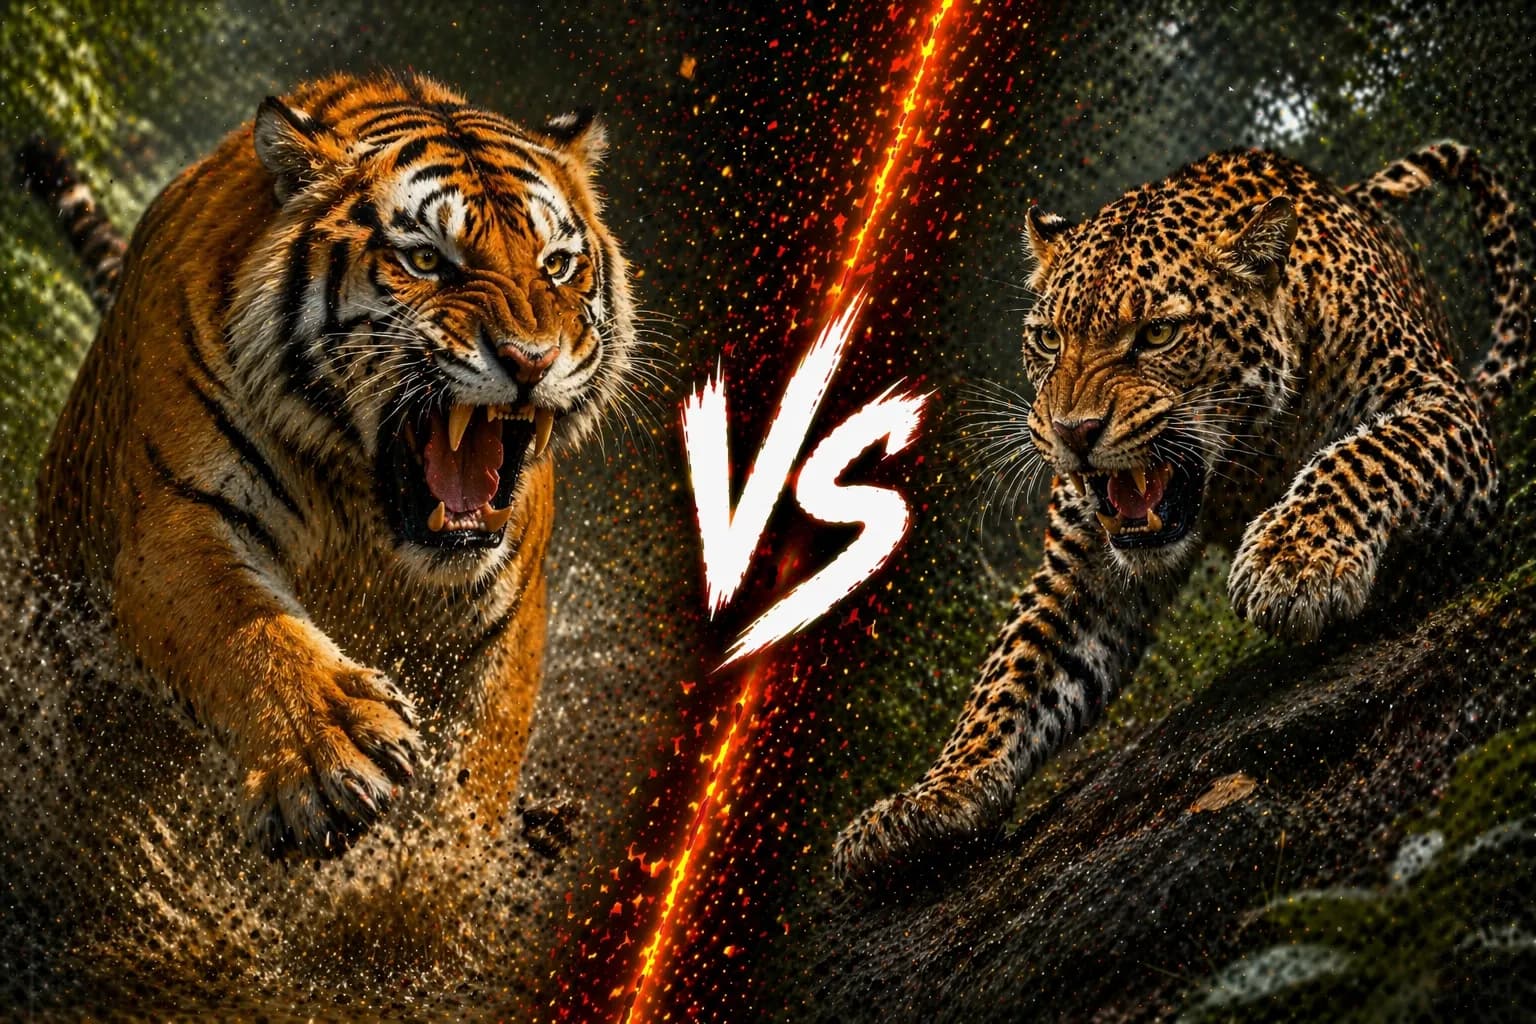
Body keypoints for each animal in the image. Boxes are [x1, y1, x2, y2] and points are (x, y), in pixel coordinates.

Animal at [19, 71, 635, 859]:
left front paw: (435, 875)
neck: (370, 523)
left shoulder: (507, 617)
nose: (532, 360)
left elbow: (470, 788)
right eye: (426, 260)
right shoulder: (175, 528)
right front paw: (332, 750)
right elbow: (247, 629)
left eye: (557, 265)